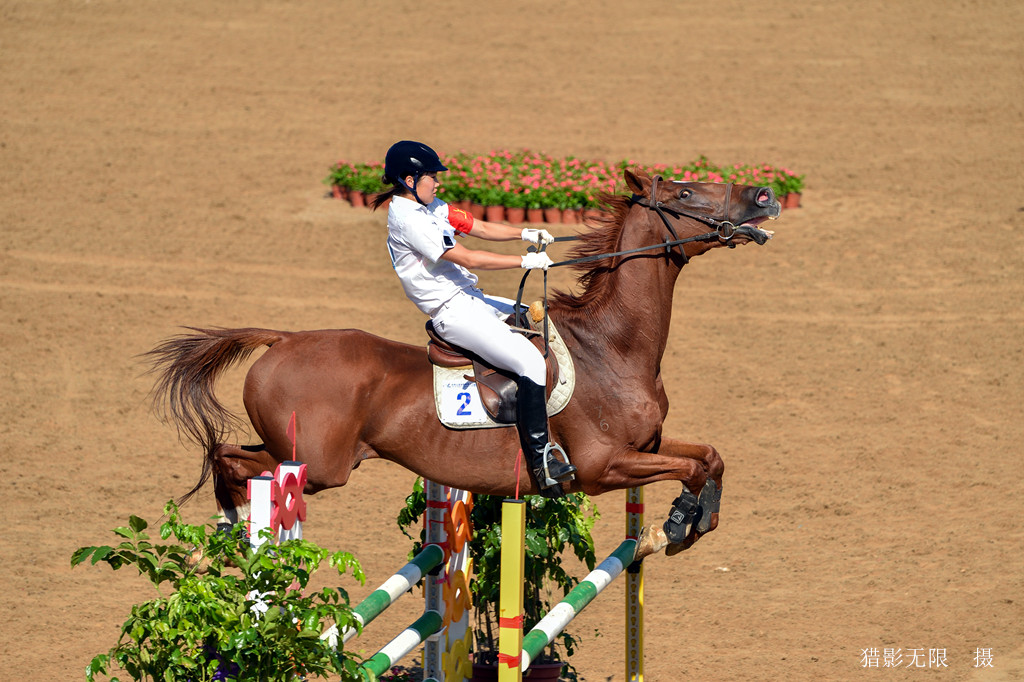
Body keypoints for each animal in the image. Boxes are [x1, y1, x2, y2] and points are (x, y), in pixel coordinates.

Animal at [144, 166, 778, 557]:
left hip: (295, 450)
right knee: (231, 462)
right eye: (685, 195)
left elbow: (710, 457)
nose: (765, 196)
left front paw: (695, 520)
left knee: (231, 456)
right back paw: (226, 531)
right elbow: (690, 469)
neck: (612, 348)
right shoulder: (605, 467)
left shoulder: (648, 446)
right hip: (317, 465)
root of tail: (282, 340)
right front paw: (673, 527)